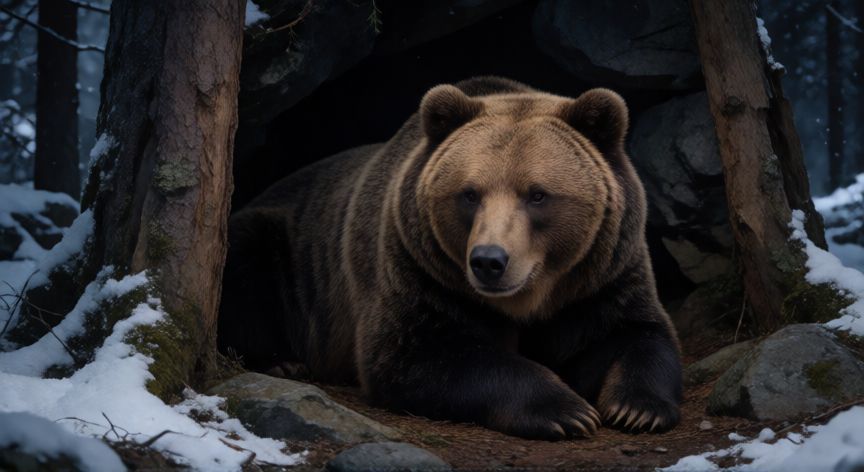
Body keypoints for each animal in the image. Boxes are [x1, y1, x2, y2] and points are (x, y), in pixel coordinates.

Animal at [218, 76, 682, 440]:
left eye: (537, 194)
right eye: (470, 193)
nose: (489, 261)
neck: (528, 301)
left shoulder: (600, 275)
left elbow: (635, 331)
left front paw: (637, 408)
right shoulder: (418, 271)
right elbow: (420, 355)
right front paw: (566, 411)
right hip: (287, 244)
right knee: (244, 265)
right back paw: (282, 361)